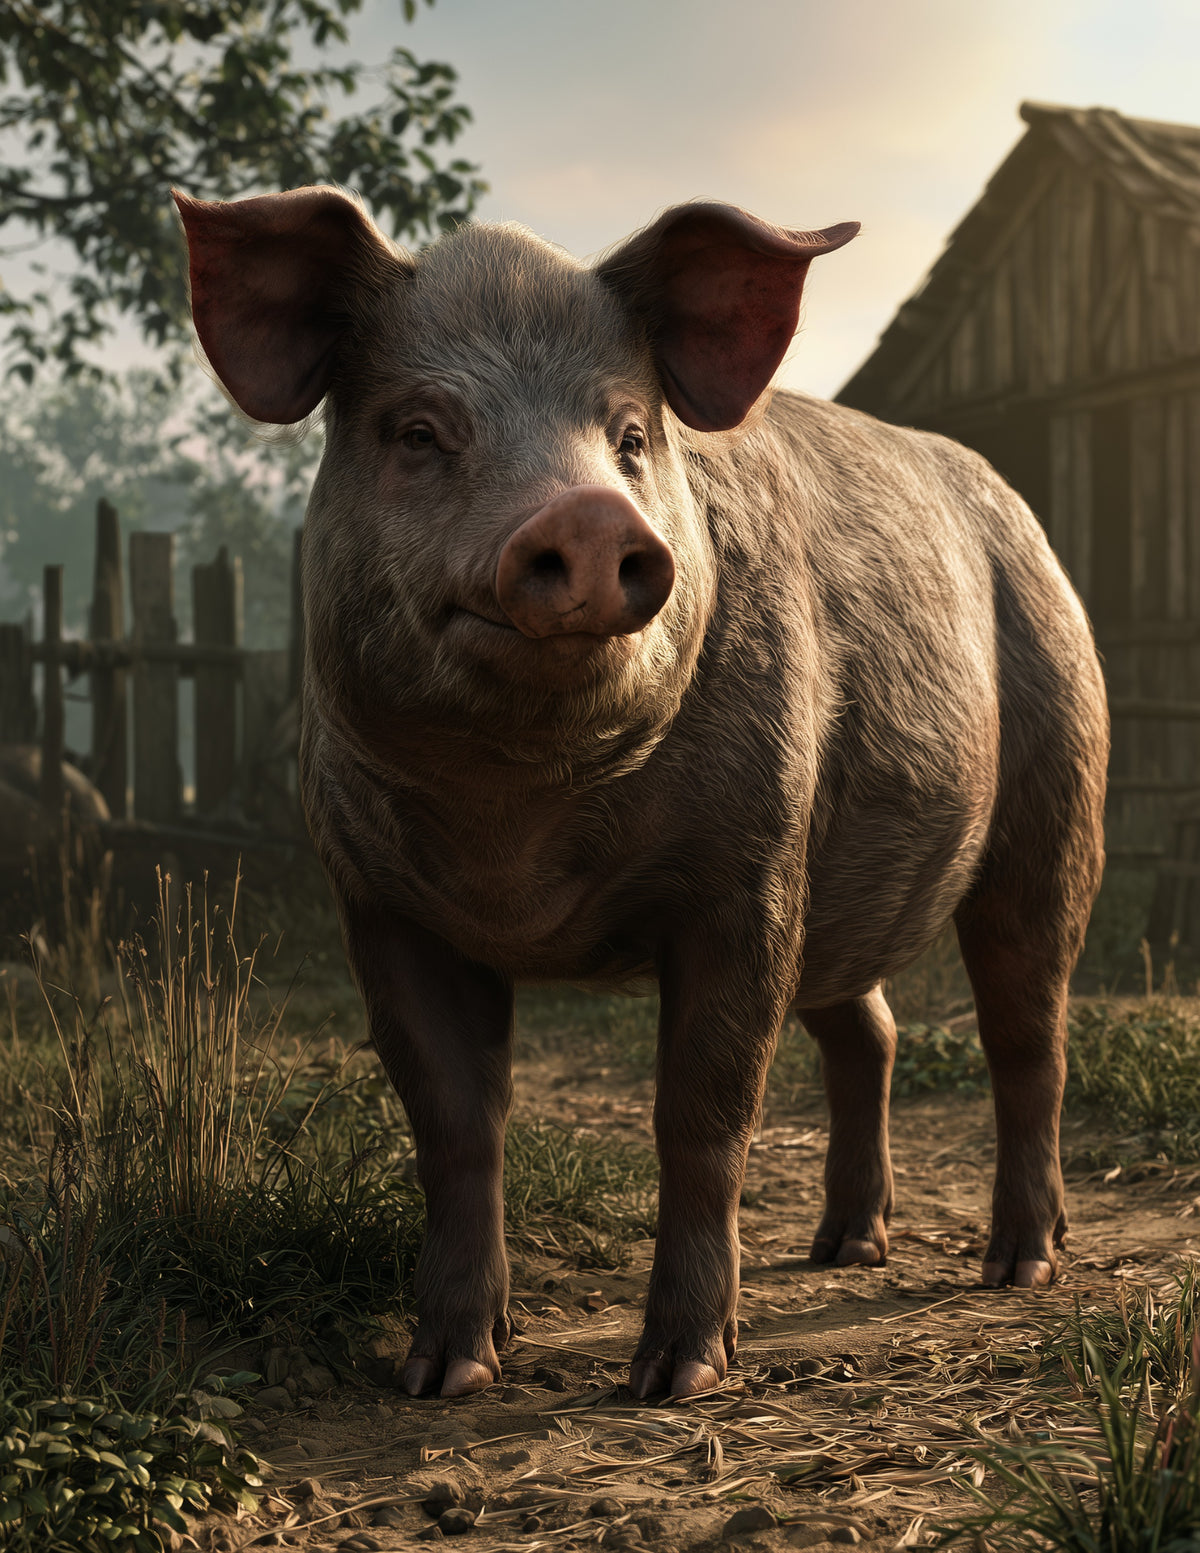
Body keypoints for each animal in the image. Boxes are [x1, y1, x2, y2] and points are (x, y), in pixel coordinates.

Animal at [175, 187, 1107, 1400]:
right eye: (419, 431)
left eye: (627, 435)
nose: (586, 514)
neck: (516, 823)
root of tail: (1026, 518)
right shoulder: (376, 898)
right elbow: (455, 1119)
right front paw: (446, 1374)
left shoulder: (747, 870)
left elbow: (702, 1111)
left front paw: (677, 1379)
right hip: (840, 877)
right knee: (870, 1028)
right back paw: (844, 1248)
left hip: (1057, 778)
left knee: (1027, 1025)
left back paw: (1018, 1265)